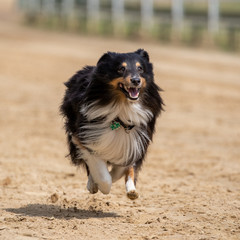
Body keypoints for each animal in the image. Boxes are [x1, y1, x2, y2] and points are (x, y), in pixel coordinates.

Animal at [61, 48, 164, 199]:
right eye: (121, 69)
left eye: (140, 68)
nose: (136, 80)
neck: (122, 108)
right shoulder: (86, 136)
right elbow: (101, 172)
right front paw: (102, 186)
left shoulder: (136, 141)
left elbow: (126, 167)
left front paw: (130, 188)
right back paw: (92, 184)